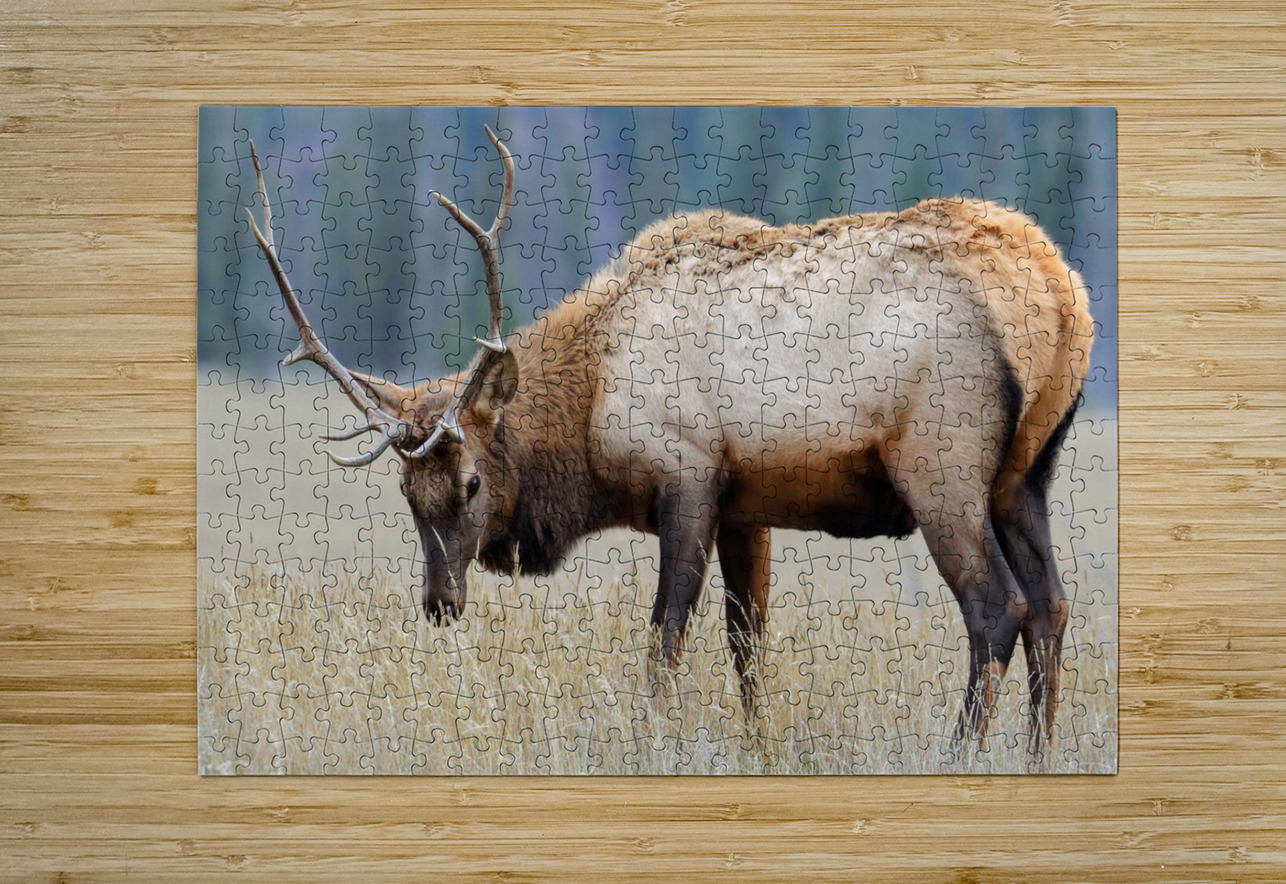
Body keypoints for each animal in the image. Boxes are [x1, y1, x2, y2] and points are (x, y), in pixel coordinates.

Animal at [244, 126, 1092, 754]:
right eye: (406, 495)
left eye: (473, 482)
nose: (441, 603)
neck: (589, 404)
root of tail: (1060, 294)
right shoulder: (748, 505)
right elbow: (747, 643)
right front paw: (757, 747)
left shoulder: (687, 477)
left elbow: (665, 637)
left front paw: (653, 738)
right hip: (1026, 475)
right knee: (1052, 606)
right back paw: (1039, 754)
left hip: (942, 465)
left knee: (999, 607)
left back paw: (961, 751)